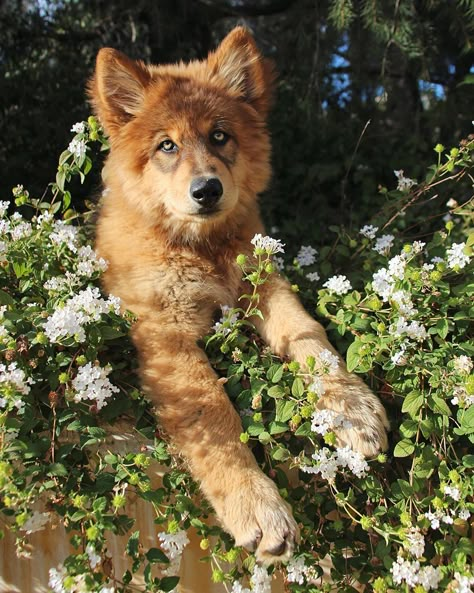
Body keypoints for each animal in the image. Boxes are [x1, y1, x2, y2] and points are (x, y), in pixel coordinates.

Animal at [89, 26, 388, 564]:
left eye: (219, 136)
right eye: (167, 145)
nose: (206, 190)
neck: (200, 248)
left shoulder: (265, 287)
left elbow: (311, 339)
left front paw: (350, 407)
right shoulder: (167, 335)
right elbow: (214, 416)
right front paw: (256, 503)